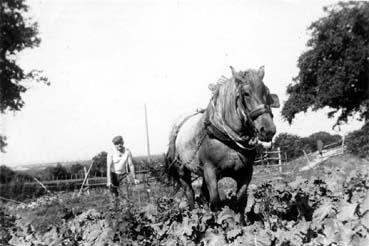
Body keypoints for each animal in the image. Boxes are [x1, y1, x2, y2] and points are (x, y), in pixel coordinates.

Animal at [165, 66, 278, 224]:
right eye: (246, 93)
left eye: (267, 92)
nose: (268, 130)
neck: (229, 141)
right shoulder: (210, 171)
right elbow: (216, 202)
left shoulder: (246, 172)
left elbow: (240, 200)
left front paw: (241, 225)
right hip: (182, 170)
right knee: (190, 194)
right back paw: (194, 217)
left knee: (203, 193)